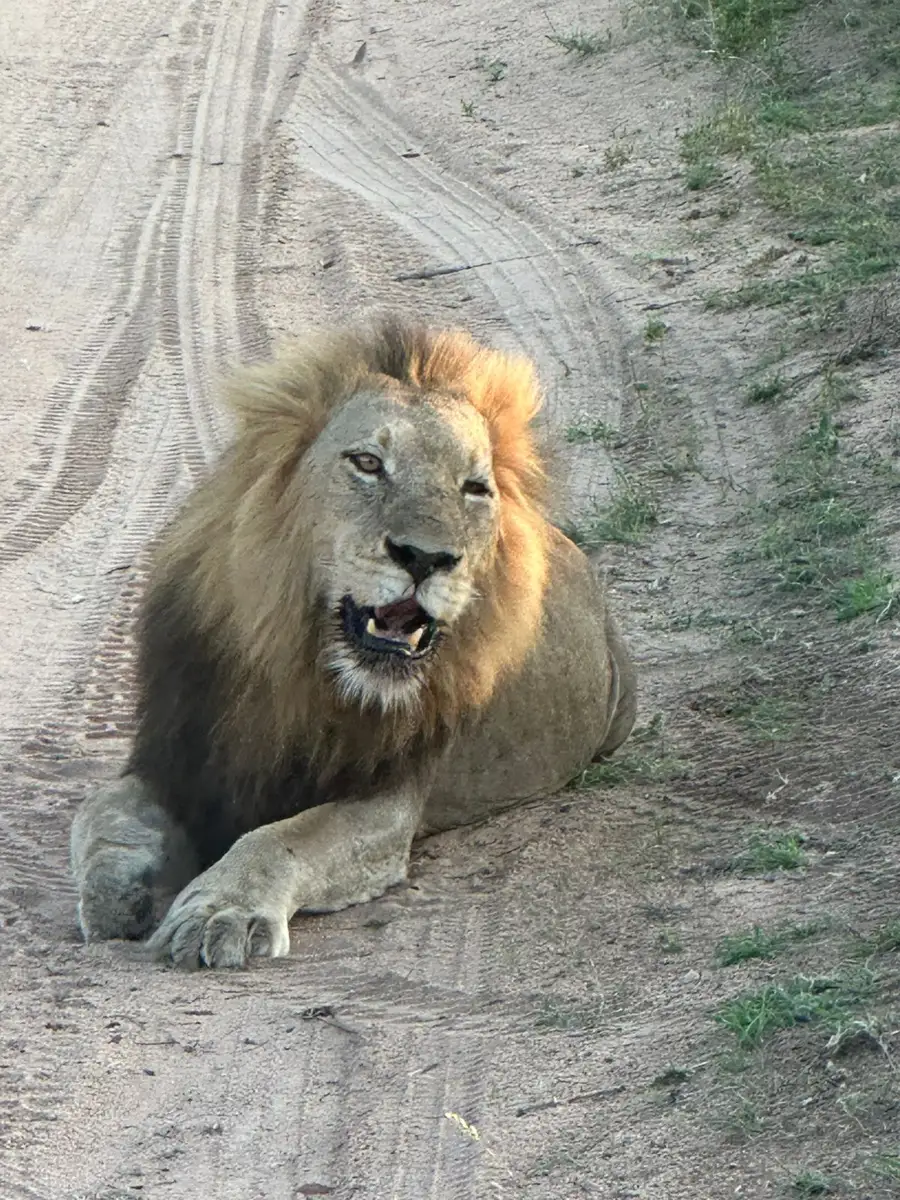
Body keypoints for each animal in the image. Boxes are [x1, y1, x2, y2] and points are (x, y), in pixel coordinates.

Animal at [70, 316, 638, 964]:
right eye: (367, 462)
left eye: (474, 488)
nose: (426, 557)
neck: (298, 666)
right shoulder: (183, 755)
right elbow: (99, 810)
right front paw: (122, 892)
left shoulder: (389, 799)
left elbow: (281, 838)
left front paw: (222, 910)